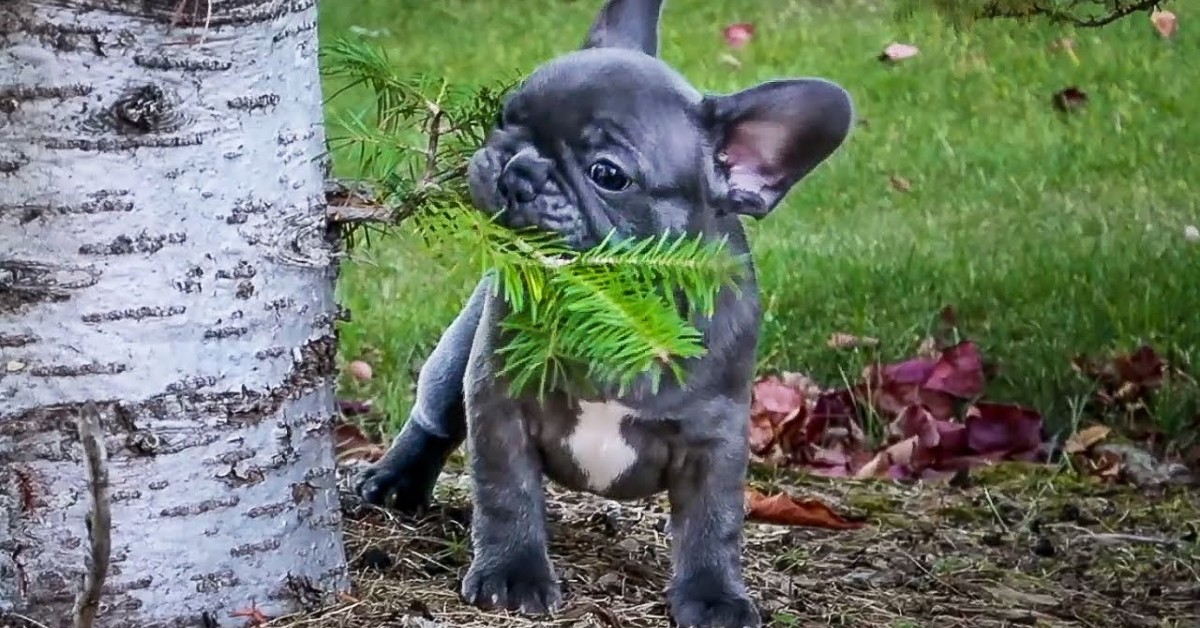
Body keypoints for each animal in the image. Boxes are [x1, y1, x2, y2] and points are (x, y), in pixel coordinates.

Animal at [355, 2, 854, 624]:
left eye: (608, 174)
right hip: (458, 356)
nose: (518, 167)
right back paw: (393, 481)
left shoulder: (715, 438)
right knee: (434, 419)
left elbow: (713, 524)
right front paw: (513, 573)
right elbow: (506, 493)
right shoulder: (498, 400)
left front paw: (714, 595)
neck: (612, 306)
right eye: (504, 116)